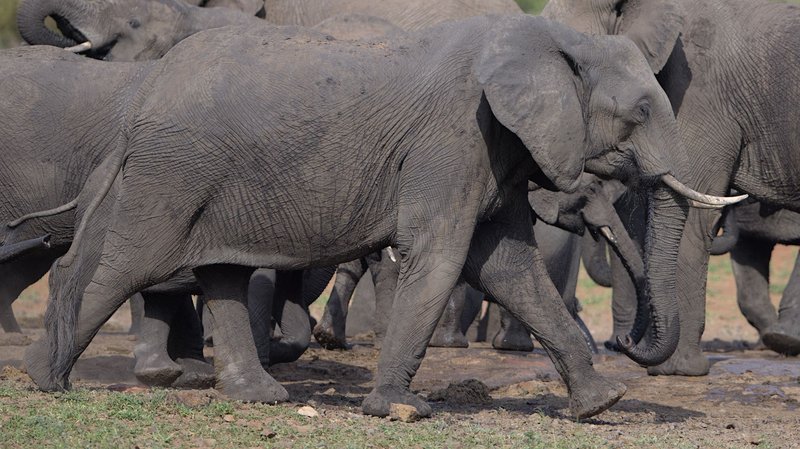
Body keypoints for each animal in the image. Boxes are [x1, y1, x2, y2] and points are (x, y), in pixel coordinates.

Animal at [19, 16, 744, 420]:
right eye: (641, 113)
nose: (627, 350)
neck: (556, 38)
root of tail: (140, 98)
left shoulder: (493, 147)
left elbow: (508, 265)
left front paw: (602, 405)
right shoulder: (454, 136)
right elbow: (442, 255)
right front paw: (402, 410)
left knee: (221, 271)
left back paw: (260, 399)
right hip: (173, 170)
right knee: (129, 263)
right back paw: (45, 380)